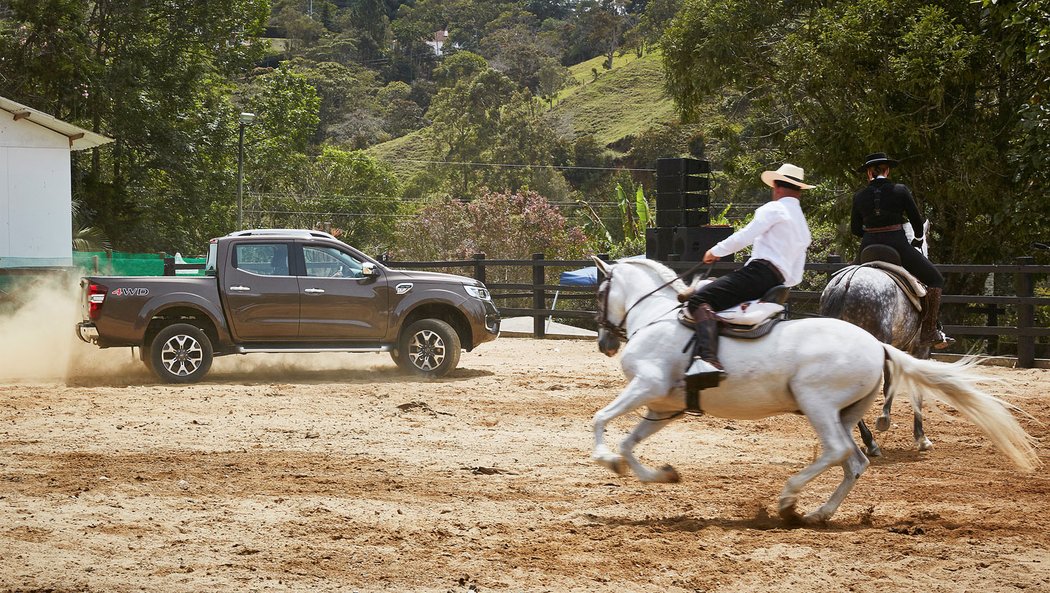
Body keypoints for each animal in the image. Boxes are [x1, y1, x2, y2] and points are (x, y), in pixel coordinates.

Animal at [588, 257, 1037, 524]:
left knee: (838, 453)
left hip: (816, 404)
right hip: (841, 414)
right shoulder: (663, 406)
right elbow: (630, 443)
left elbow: (600, 419)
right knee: (855, 461)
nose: (605, 343)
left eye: (599, 292)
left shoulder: (646, 385)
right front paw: (658, 474)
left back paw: (789, 500)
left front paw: (604, 458)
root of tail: (875, 344)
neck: (656, 318)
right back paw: (820, 511)